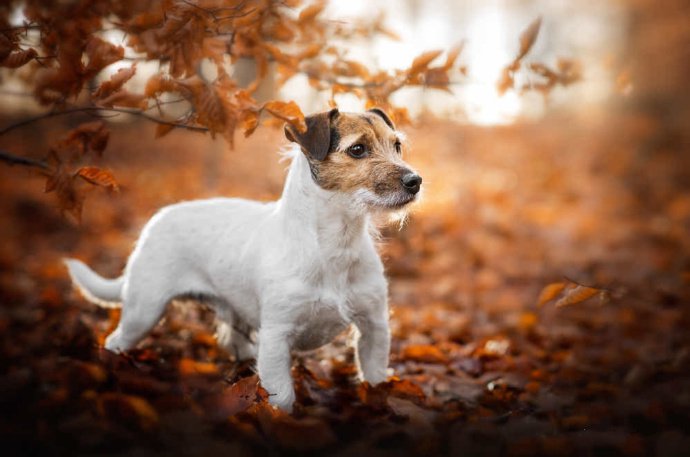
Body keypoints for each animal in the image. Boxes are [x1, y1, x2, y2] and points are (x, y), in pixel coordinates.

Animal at [64, 108, 420, 412]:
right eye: (358, 149)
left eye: (397, 145)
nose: (415, 181)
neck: (336, 243)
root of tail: (157, 220)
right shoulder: (277, 335)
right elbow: (282, 395)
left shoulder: (374, 327)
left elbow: (375, 378)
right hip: (144, 310)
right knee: (116, 339)